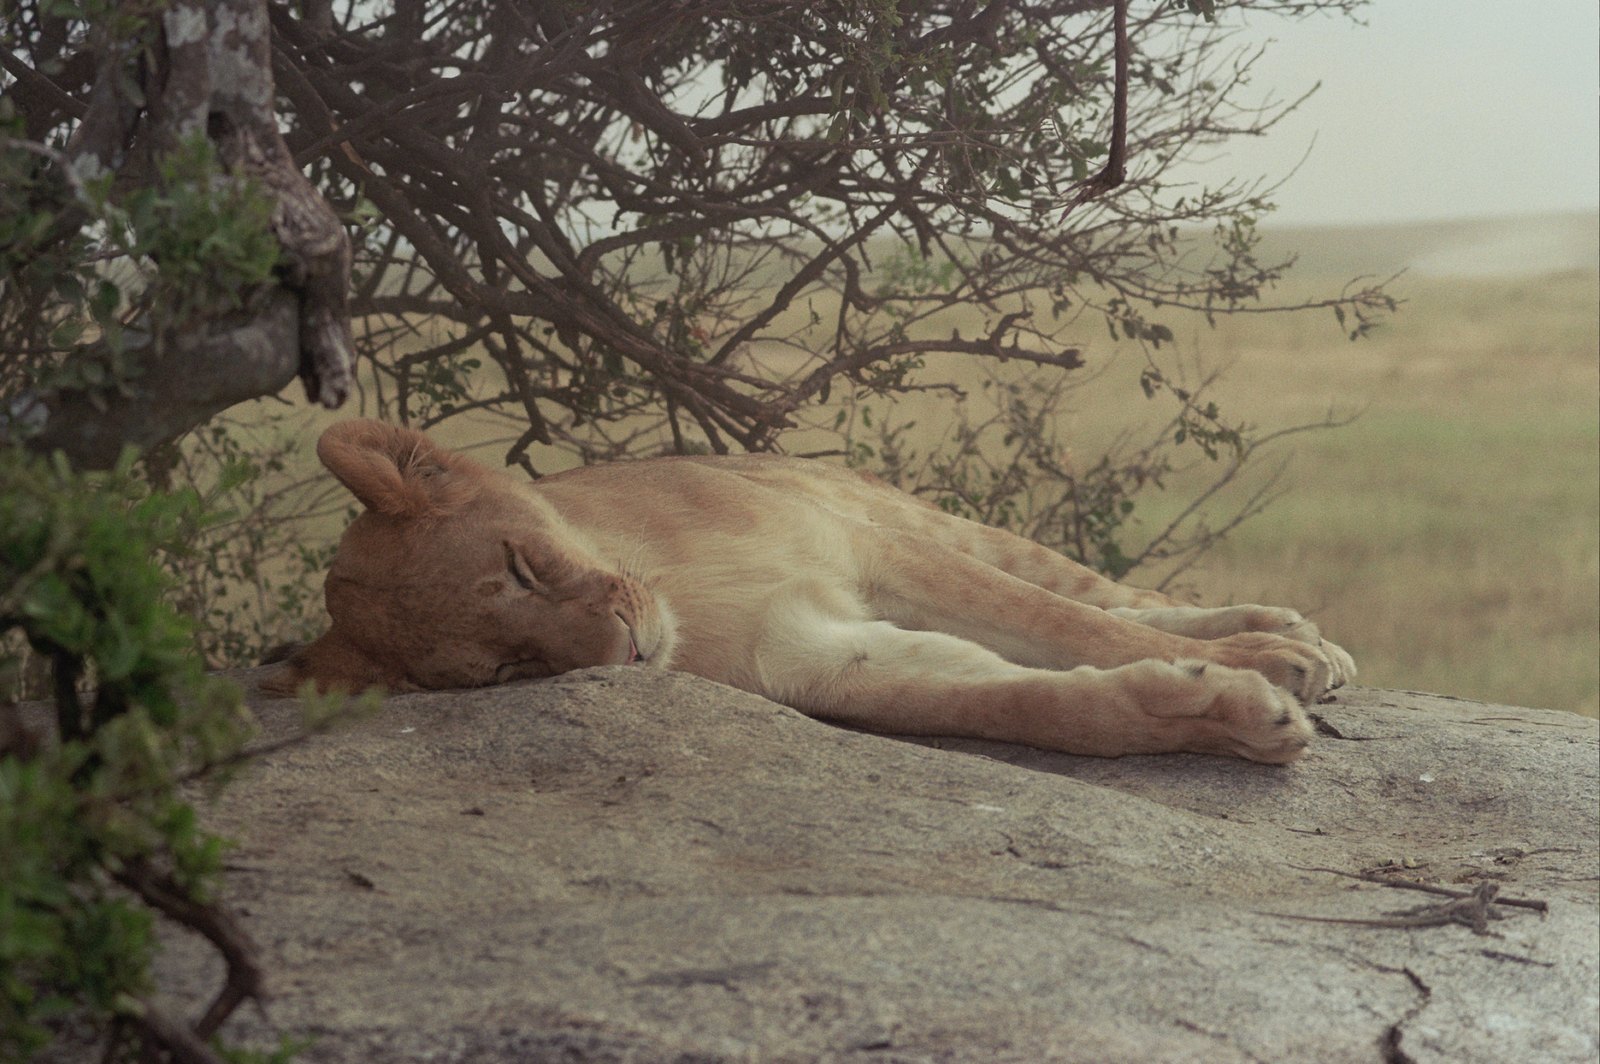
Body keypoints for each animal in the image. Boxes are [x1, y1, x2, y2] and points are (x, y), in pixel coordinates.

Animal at [263, 419, 1355, 763]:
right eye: (501, 671)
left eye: (522, 566)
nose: (624, 654)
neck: (679, 596)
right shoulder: (823, 658)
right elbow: (1031, 701)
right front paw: (1230, 710)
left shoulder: (876, 552)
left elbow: (1064, 621)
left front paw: (1263, 664)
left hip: (925, 519)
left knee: (1098, 591)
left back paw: (1293, 635)